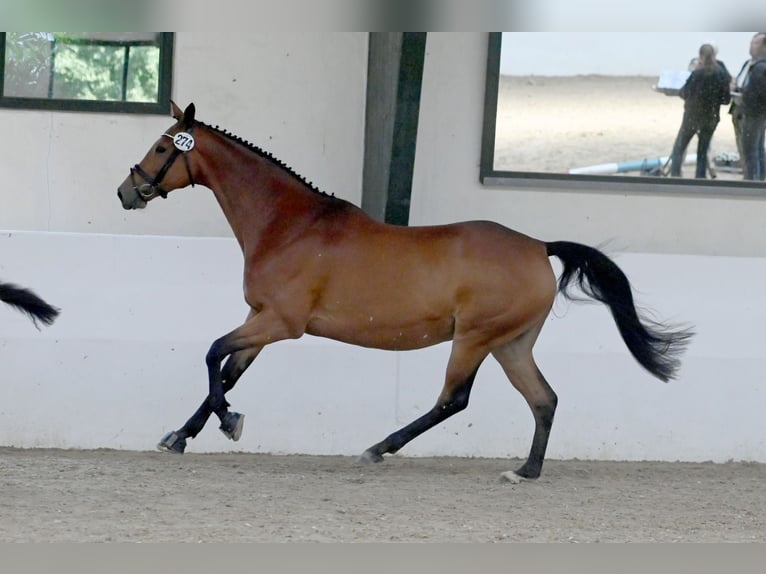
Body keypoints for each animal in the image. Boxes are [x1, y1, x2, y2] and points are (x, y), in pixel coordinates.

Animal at [115, 102, 696, 482]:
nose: (126, 191)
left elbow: (213, 354)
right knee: (543, 399)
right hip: (511, 344)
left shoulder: (281, 322)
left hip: (475, 339)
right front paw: (180, 436)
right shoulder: (260, 320)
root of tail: (538, 247)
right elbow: (227, 370)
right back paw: (525, 471)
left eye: (163, 146)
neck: (290, 225)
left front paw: (230, 422)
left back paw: (378, 449)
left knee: (454, 400)